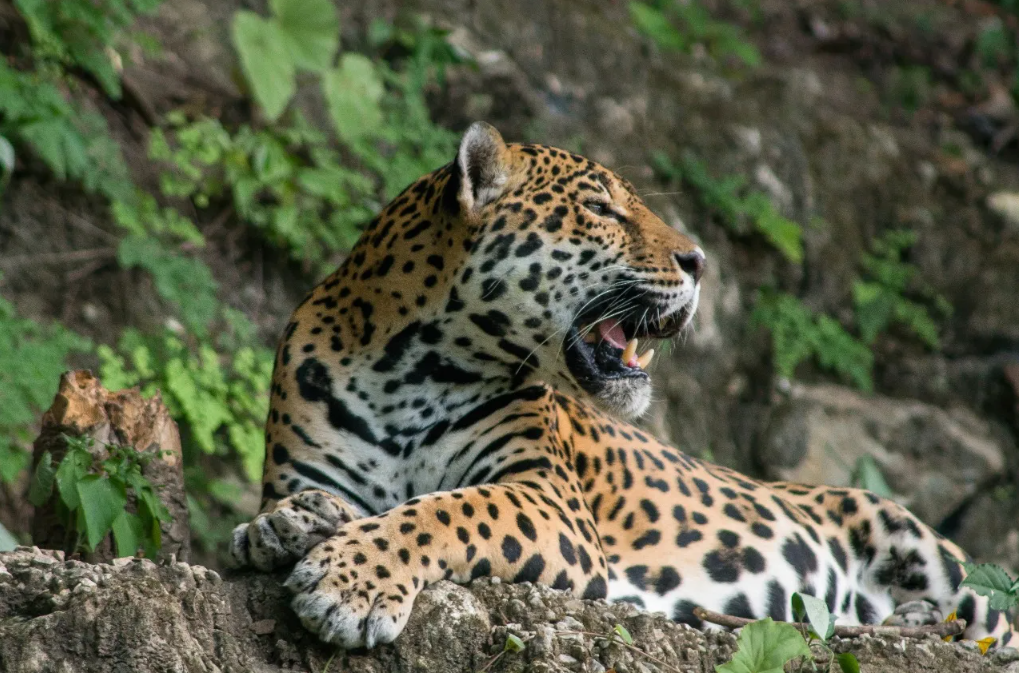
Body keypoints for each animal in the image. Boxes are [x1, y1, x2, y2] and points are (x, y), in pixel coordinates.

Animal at [229, 121, 1015, 650]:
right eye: (601, 209)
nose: (699, 260)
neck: (412, 368)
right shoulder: (311, 465)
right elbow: (308, 506)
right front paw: (284, 526)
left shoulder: (547, 498)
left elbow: (444, 511)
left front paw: (349, 582)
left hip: (919, 542)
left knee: (992, 614)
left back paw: (920, 618)